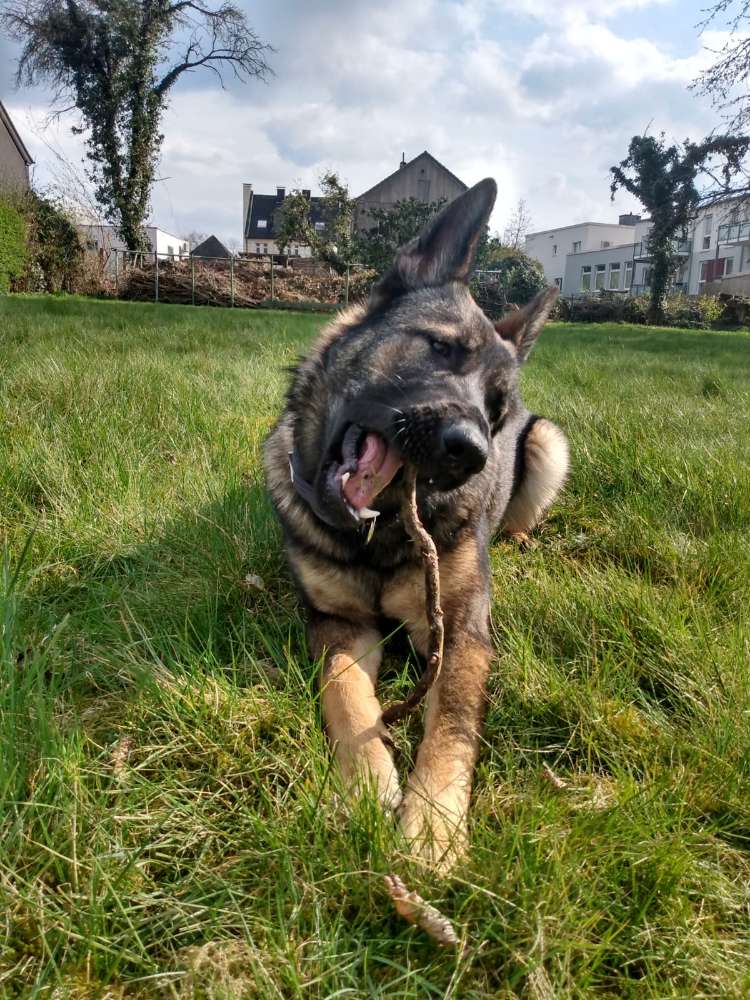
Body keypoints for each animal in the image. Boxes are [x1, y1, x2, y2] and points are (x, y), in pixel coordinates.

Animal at [264, 178, 568, 868]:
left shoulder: (461, 634)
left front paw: (432, 822)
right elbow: (347, 696)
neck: (374, 537)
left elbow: (452, 724)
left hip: (548, 444)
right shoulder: (339, 624)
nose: (471, 451)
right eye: (442, 347)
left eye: (494, 409)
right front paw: (365, 781)